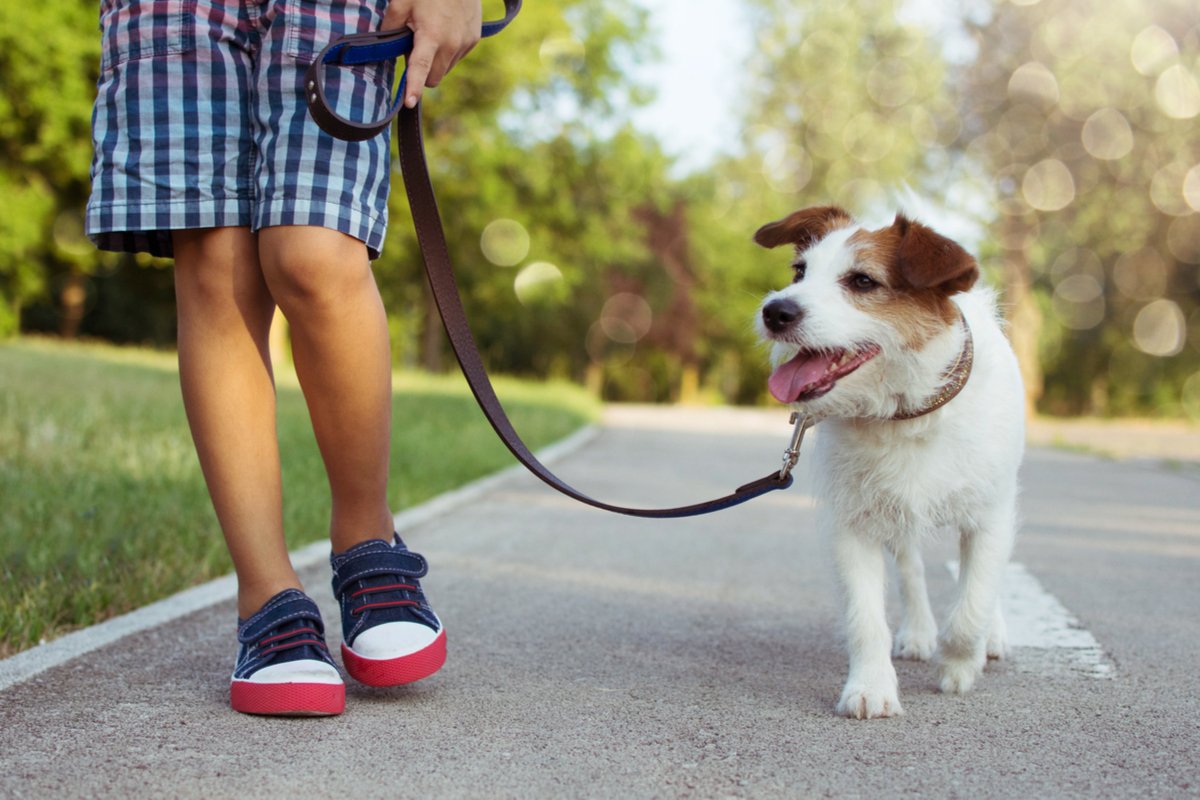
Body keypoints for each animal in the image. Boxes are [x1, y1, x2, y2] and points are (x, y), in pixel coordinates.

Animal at [753, 206, 1017, 719]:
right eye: (799, 272)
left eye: (862, 281)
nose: (775, 311)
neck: (905, 414)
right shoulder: (851, 526)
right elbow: (865, 618)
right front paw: (871, 687)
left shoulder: (990, 516)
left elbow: (972, 603)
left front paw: (961, 666)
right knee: (911, 570)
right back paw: (917, 632)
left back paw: (992, 636)